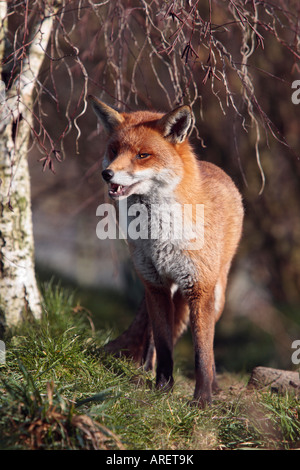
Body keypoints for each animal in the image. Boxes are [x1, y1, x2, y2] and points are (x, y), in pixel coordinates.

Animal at [89, 96, 244, 408]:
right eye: (114, 150)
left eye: (143, 155)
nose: (106, 173)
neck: (159, 235)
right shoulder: (154, 283)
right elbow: (163, 345)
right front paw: (162, 388)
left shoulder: (199, 289)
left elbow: (202, 353)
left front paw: (202, 401)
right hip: (164, 293)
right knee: (155, 339)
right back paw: (146, 371)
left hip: (217, 295)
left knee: (207, 344)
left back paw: (215, 385)